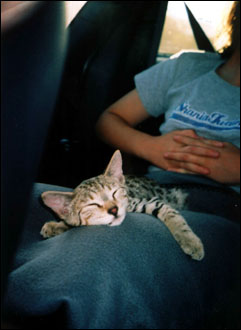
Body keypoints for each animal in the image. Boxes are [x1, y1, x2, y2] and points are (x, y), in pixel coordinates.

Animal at [40, 150, 204, 260]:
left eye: (114, 193)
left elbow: (173, 215)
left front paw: (191, 241)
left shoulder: (148, 202)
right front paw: (56, 226)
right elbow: (74, 224)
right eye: (93, 204)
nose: (114, 209)